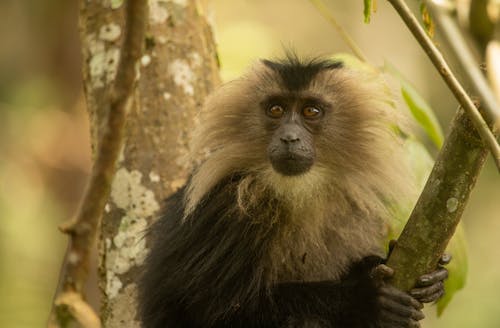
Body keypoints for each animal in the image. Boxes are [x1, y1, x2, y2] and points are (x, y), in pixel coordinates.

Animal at [139, 55, 452, 326]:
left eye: (310, 111)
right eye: (276, 110)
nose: (290, 137)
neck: (296, 190)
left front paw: (424, 275)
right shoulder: (225, 210)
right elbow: (217, 312)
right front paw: (363, 299)